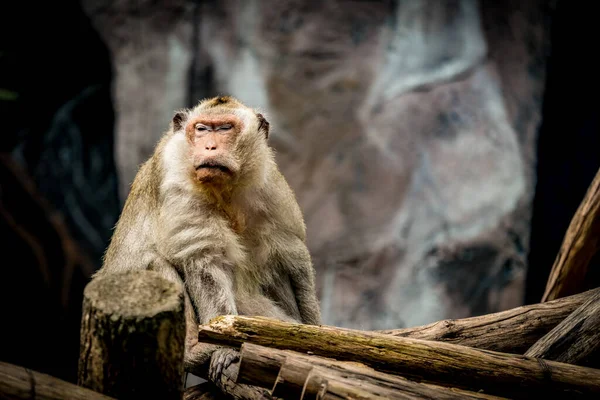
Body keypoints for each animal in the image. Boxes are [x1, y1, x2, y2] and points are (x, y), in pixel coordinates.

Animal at [94, 95, 322, 380]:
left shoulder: (269, 185)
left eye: (225, 128)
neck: (225, 190)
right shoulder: (179, 183)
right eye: (202, 129)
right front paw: (226, 346)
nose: (210, 146)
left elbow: (291, 256)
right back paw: (192, 349)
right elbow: (204, 261)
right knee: (152, 264)